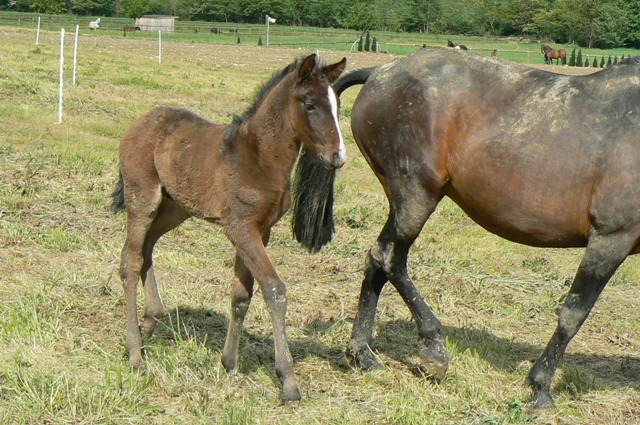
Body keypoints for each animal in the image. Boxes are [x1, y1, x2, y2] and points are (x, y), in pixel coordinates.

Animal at [112, 53, 348, 400]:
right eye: (309, 104)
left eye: (336, 105)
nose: (338, 157)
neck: (260, 158)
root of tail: (141, 122)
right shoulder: (239, 227)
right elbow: (274, 289)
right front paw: (288, 380)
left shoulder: (261, 229)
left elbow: (241, 294)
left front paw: (229, 362)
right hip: (142, 198)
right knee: (130, 259)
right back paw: (134, 352)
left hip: (175, 208)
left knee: (147, 248)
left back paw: (151, 320)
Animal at [330, 47, 640, 408]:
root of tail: (381, 71)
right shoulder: (610, 238)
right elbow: (573, 314)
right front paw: (540, 387)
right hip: (415, 196)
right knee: (389, 259)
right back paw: (434, 349)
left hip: (402, 204)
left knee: (376, 261)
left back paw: (362, 353)